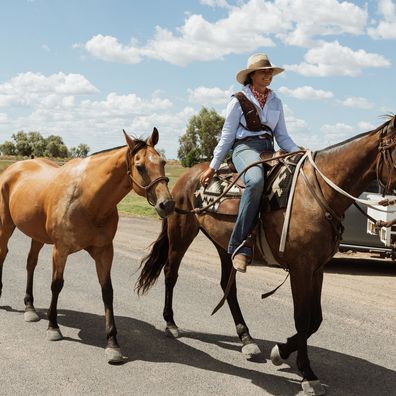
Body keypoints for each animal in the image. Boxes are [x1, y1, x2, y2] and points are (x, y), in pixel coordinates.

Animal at [0, 128, 175, 364]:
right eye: (140, 166)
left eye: (163, 162)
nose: (167, 204)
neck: (87, 199)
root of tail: (13, 168)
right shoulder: (61, 249)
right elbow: (57, 285)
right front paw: (53, 328)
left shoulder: (104, 251)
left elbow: (107, 291)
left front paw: (112, 343)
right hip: (6, 227)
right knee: (3, 254)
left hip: (37, 235)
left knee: (30, 264)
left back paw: (30, 308)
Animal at [137, 114, 396, 392]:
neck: (317, 193)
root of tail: (186, 178)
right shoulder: (301, 269)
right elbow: (302, 319)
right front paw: (306, 373)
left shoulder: (317, 269)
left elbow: (315, 319)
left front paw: (281, 352)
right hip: (181, 234)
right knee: (171, 273)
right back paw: (171, 323)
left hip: (225, 245)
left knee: (227, 286)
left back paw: (246, 338)